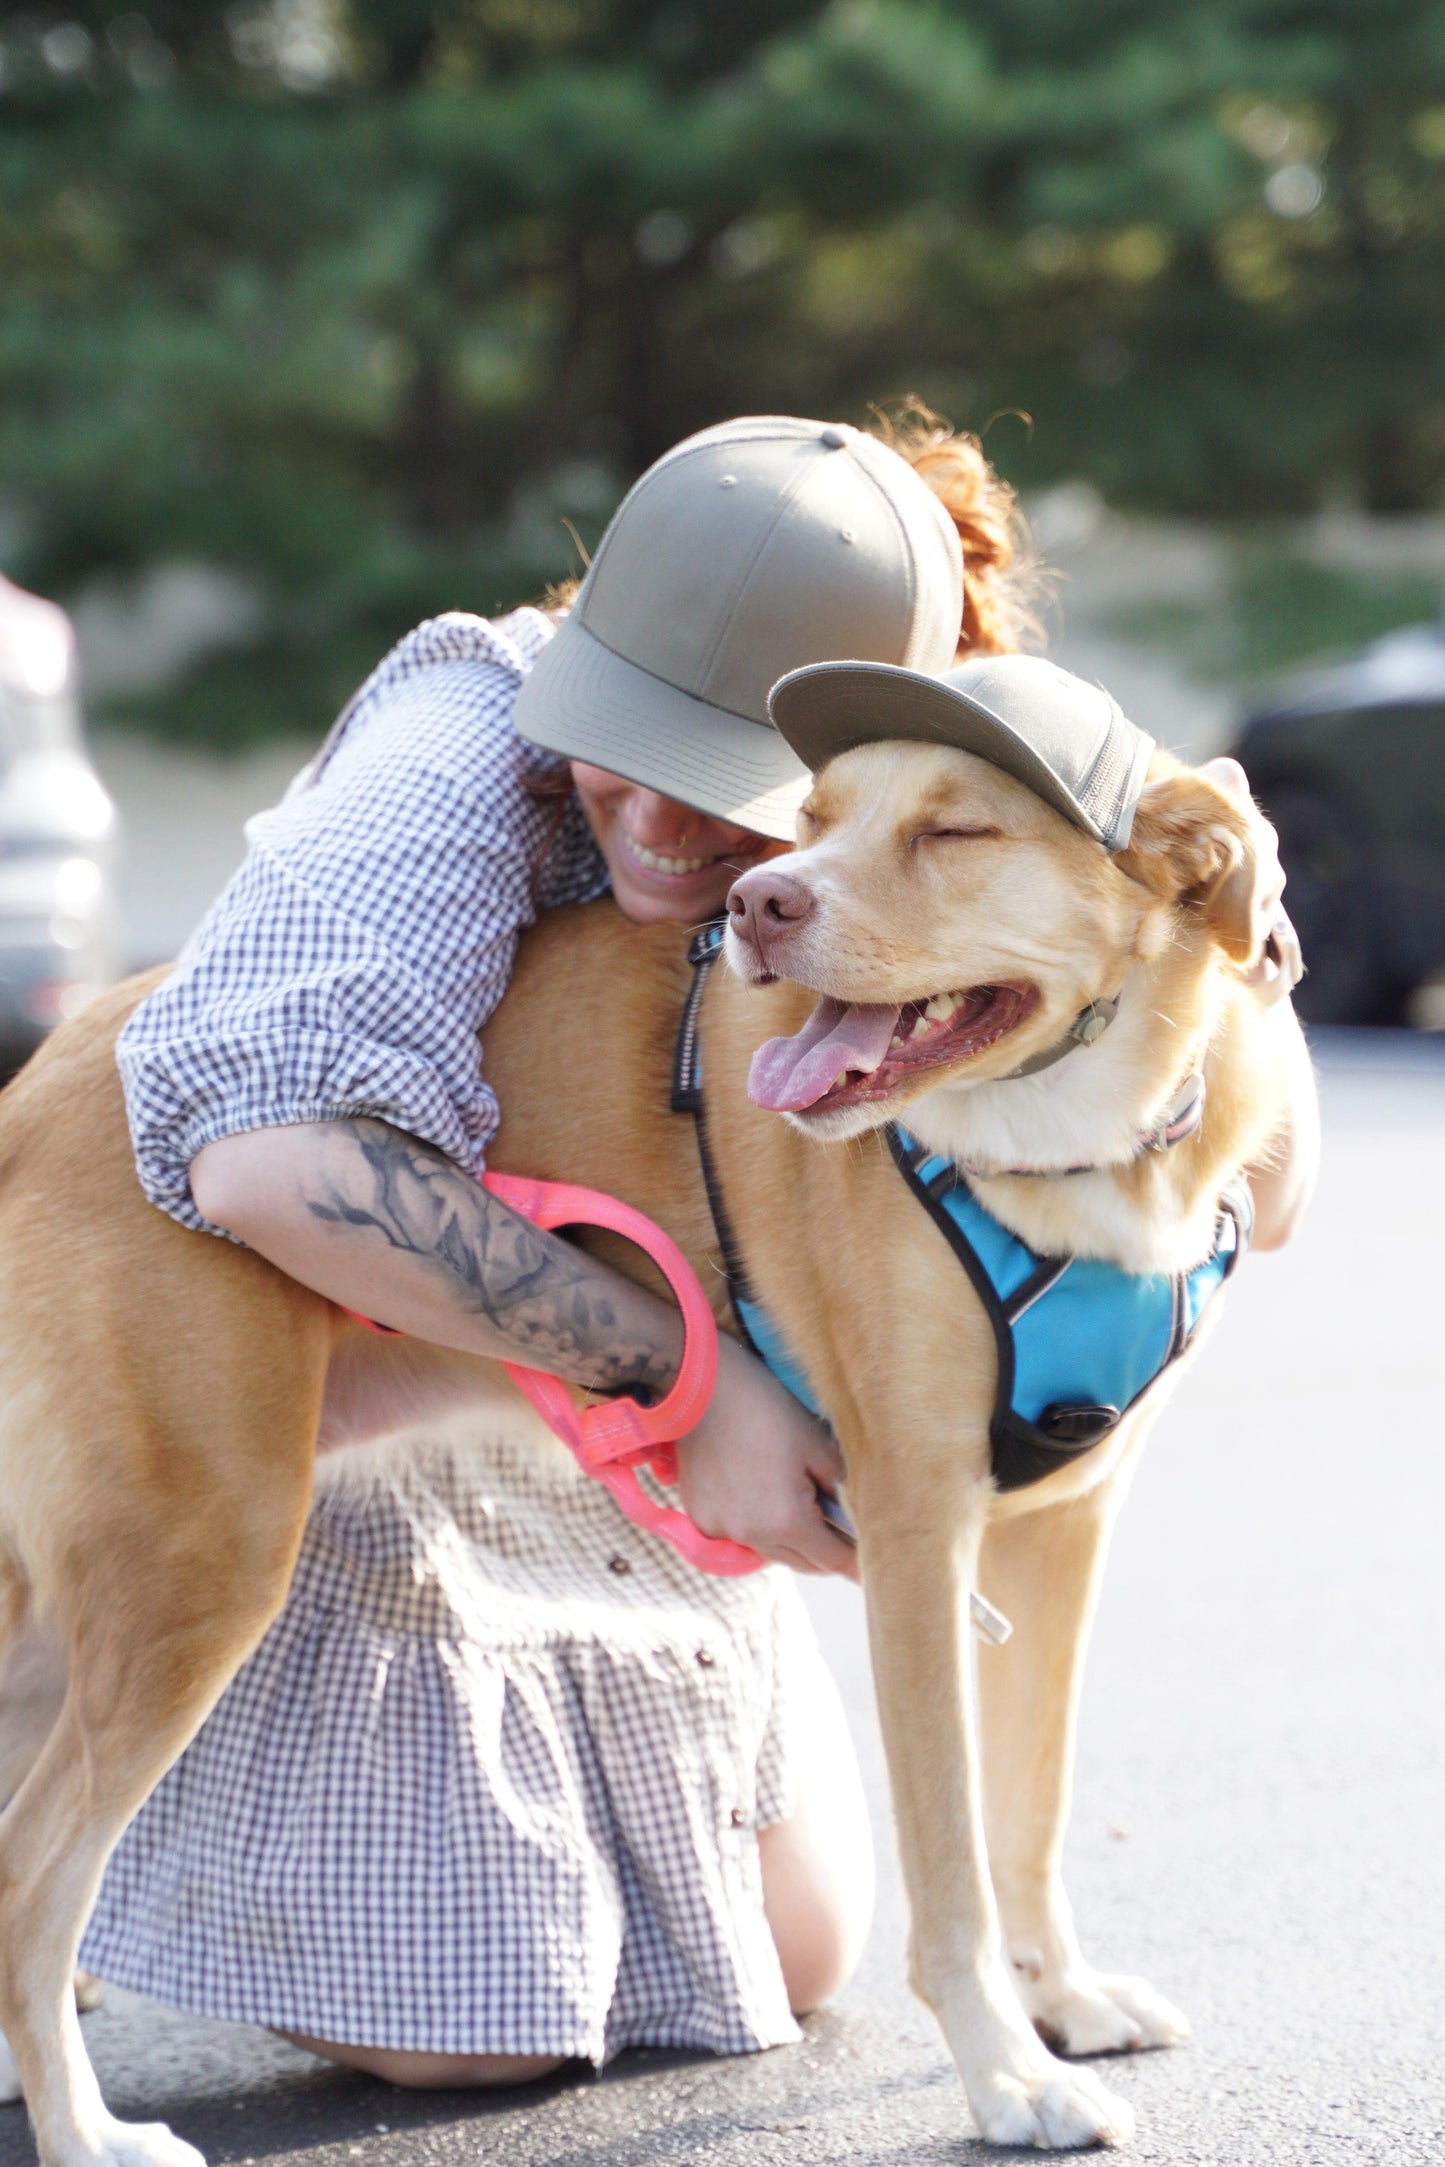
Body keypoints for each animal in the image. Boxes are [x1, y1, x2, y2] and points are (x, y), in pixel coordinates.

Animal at [0, 736, 1291, 2158]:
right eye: (815, 818)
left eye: (955, 832)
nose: (759, 904)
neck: (1063, 1153)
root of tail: (48, 1071)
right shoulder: (915, 1535)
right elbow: (950, 1854)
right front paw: (1008, 2074)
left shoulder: (1060, 1529)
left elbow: (1028, 1809)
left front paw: (1060, 1998)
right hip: (194, 1573)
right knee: (29, 1874)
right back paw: (85, 2130)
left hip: (70, 1617)